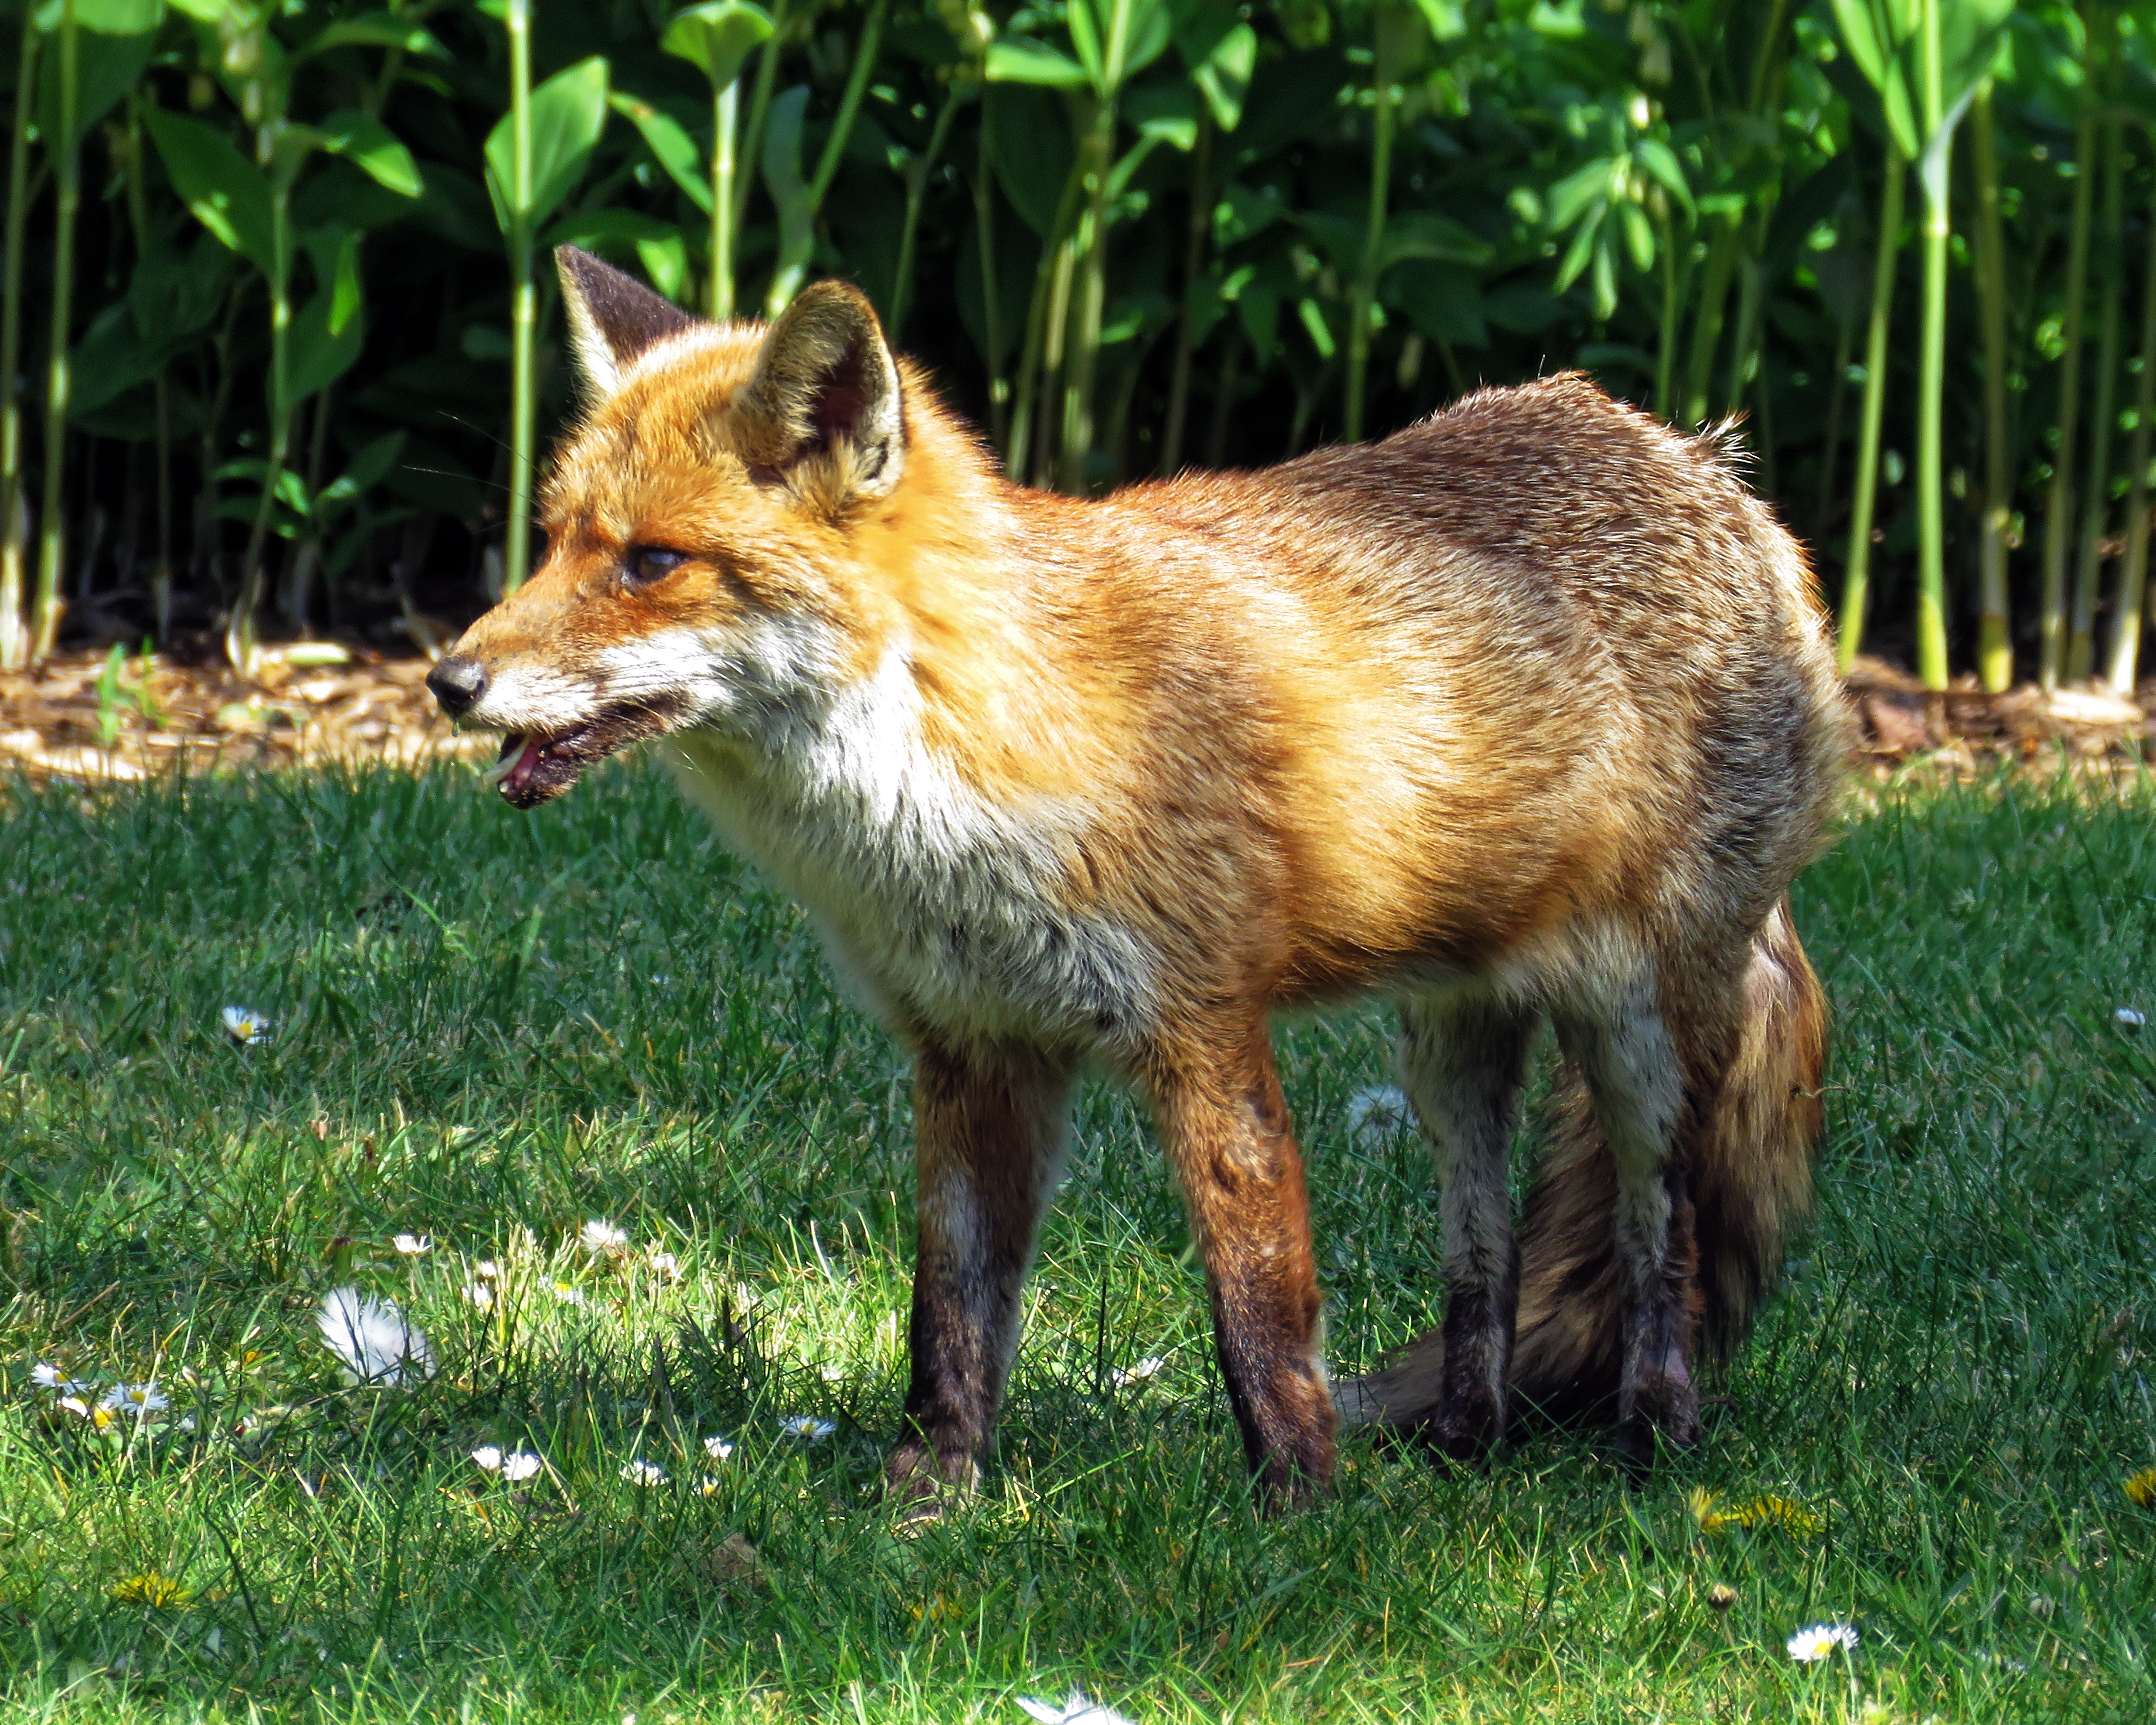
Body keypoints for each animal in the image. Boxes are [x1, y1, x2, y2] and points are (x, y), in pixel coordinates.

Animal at [424, 246, 1854, 1509]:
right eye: (550, 543)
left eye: (651, 562)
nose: (447, 681)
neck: (958, 777)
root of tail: (1710, 472)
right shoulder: (974, 1049)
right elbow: (951, 1319)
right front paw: (923, 1506)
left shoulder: (1205, 1030)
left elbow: (1259, 1316)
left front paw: (1303, 1522)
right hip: (1449, 1046)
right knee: (1483, 1251)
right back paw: (1463, 1441)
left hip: (1640, 1036)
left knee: (1660, 1238)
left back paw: (1652, 1447)